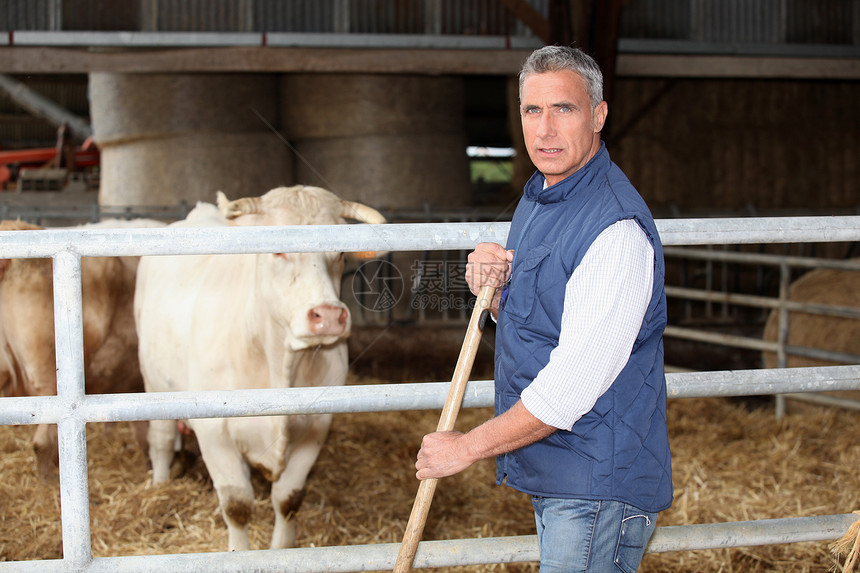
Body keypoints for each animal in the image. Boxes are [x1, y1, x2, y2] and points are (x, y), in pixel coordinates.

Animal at [135, 184, 386, 548]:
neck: (280, 361)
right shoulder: (215, 434)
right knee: (162, 440)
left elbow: (288, 500)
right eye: (278, 250)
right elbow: (237, 505)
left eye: (341, 252)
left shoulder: (315, 428)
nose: (327, 316)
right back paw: (160, 486)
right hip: (154, 383)